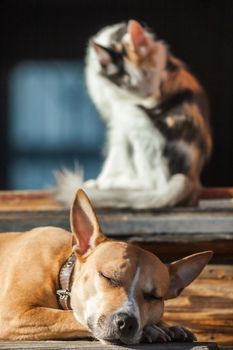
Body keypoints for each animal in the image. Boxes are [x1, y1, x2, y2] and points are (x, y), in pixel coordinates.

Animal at [55, 20, 212, 209]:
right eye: (128, 83)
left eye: (149, 74)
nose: (150, 95)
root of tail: (191, 180)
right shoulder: (114, 118)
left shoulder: (120, 117)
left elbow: (113, 158)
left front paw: (100, 181)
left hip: (136, 120)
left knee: (151, 183)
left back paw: (112, 185)